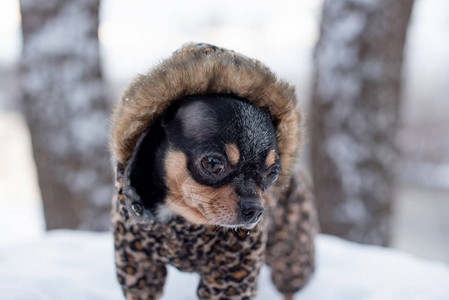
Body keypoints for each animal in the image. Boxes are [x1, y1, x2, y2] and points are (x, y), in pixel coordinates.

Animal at [110, 44, 316, 300]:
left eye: (273, 174)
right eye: (212, 163)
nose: (255, 210)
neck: (180, 219)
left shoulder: (234, 269)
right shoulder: (136, 262)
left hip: (291, 250)